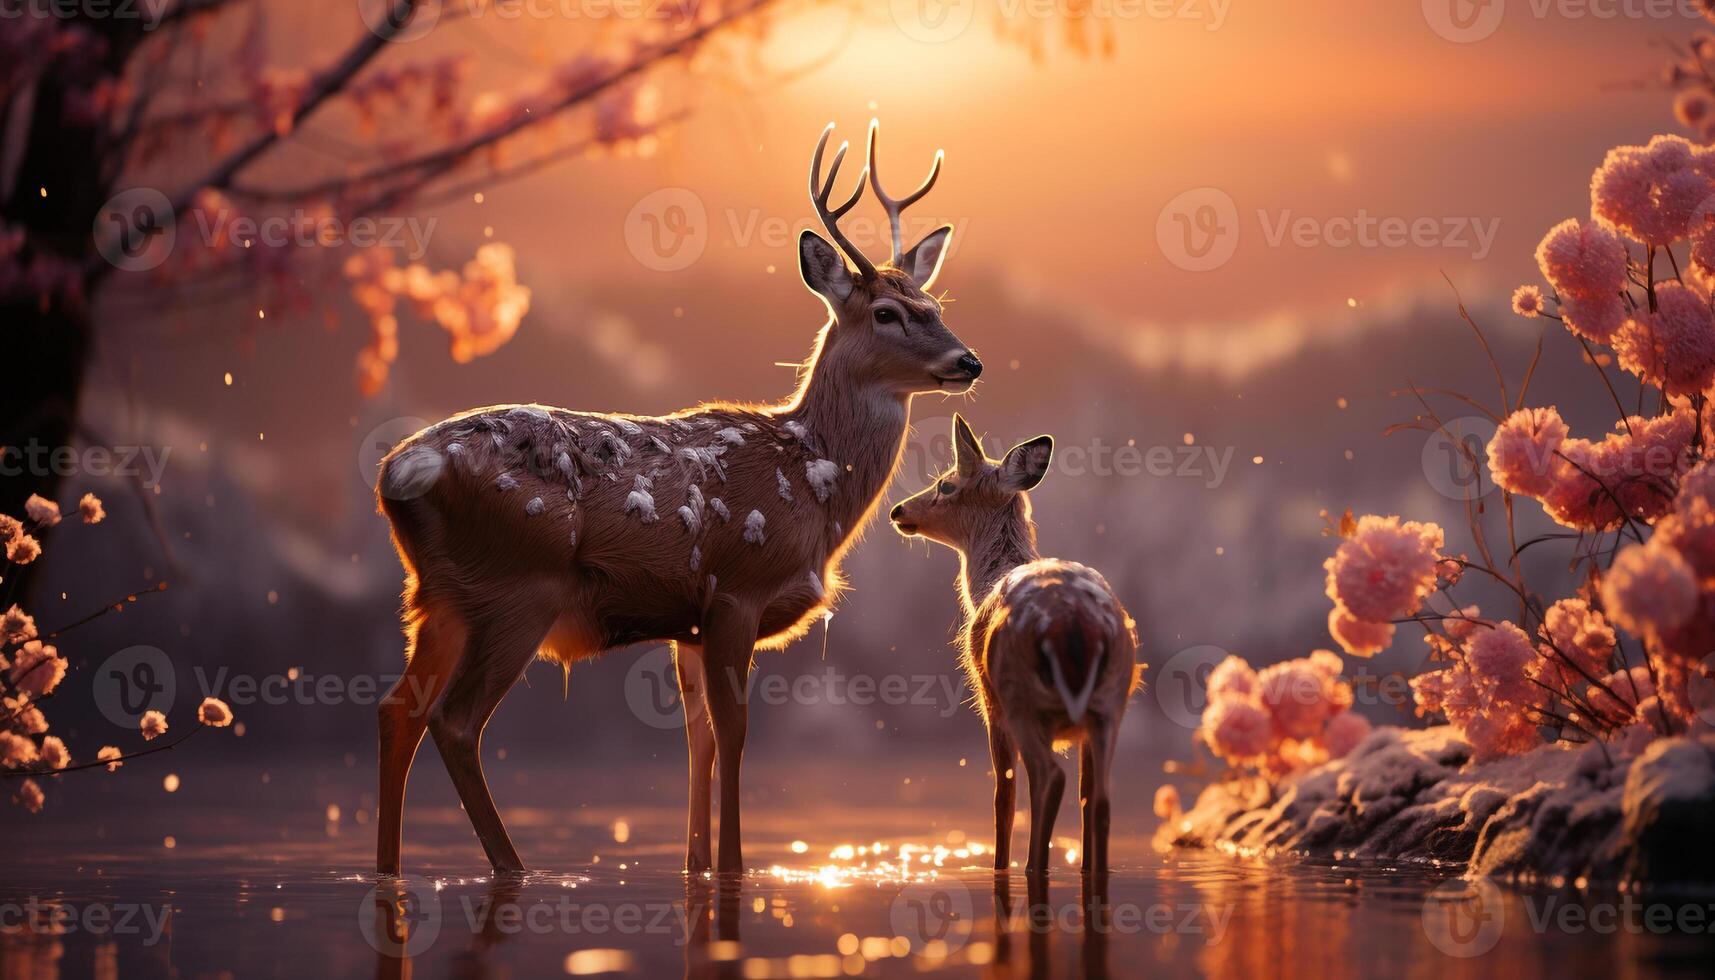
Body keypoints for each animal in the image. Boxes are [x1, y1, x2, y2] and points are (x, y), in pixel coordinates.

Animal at [373, 119, 980, 878]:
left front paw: (697, 863)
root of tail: (398, 473)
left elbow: (698, 742)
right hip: (517, 586)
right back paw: (513, 865)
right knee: (454, 721)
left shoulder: (685, 625)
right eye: (887, 313)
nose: (968, 361)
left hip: (439, 597)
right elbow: (735, 731)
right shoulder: (735, 590)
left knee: (396, 712)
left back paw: (389, 867)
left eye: (937, 307)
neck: (812, 485)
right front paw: (735, 864)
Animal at [884, 418, 1138, 878]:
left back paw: (1030, 868)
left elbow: (1002, 795)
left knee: (1046, 781)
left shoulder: (989, 704)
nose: (899, 511)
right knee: (1099, 796)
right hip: (1112, 702)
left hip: (1020, 699)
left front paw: (998, 866)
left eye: (946, 483)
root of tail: (1074, 624)